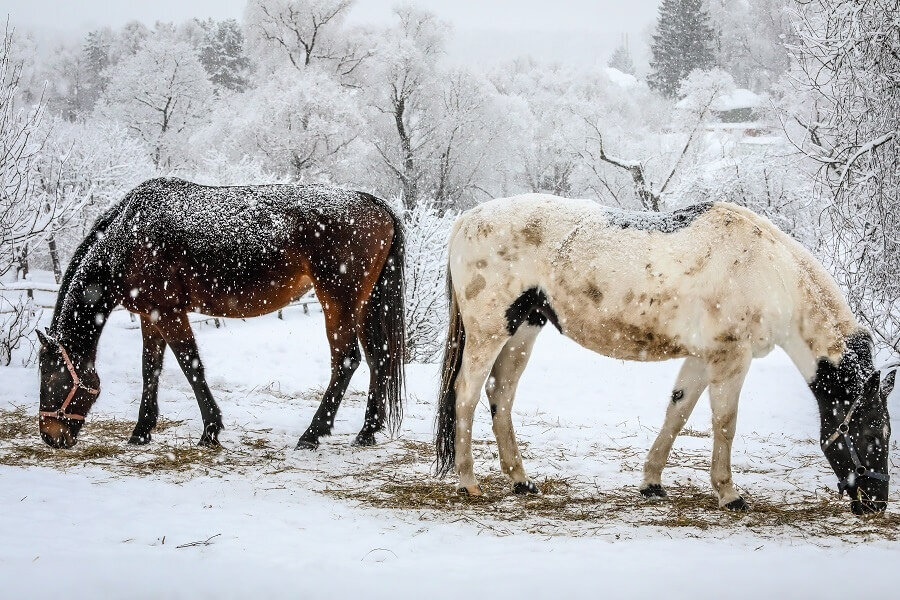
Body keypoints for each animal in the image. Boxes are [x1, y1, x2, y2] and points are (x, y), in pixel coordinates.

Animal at [37, 178, 404, 450]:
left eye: (52, 376)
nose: (50, 436)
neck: (129, 235)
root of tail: (374, 202)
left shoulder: (168, 313)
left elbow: (191, 366)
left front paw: (210, 430)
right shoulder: (150, 316)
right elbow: (150, 369)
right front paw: (141, 431)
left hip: (338, 302)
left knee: (346, 361)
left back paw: (312, 434)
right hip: (365, 306)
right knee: (378, 358)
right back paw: (367, 432)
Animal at [434, 195, 892, 512]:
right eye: (873, 434)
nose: (877, 502)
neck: (767, 271)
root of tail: (465, 220)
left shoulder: (702, 357)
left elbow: (678, 411)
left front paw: (652, 483)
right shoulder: (730, 359)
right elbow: (725, 425)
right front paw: (729, 494)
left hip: (523, 331)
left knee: (501, 396)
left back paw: (520, 481)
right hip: (489, 333)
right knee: (466, 395)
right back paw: (468, 481)